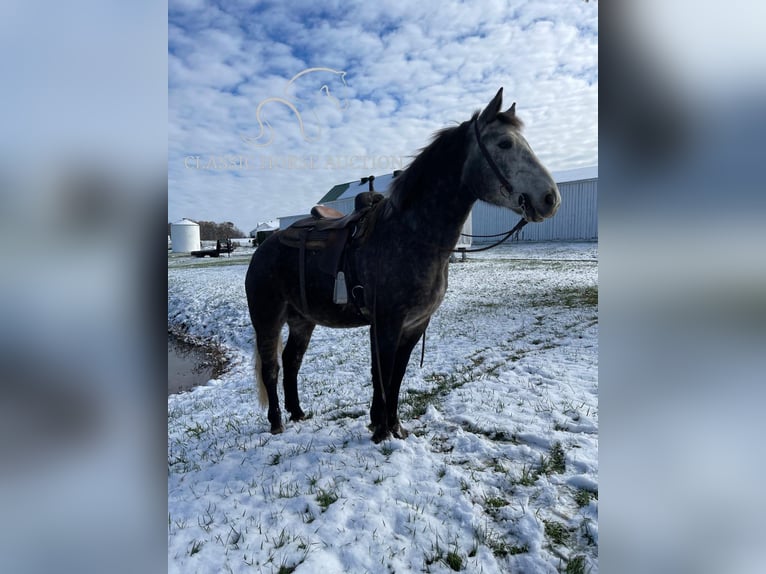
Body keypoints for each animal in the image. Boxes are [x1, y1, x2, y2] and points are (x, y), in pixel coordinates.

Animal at [248, 88, 564, 444]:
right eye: (505, 144)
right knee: (271, 367)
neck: (412, 236)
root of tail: (263, 248)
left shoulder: (415, 325)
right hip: (268, 319)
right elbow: (383, 373)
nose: (550, 199)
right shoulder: (387, 323)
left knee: (292, 361)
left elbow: (396, 375)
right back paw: (276, 421)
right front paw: (380, 430)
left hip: (303, 320)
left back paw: (298, 412)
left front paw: (394, 426)